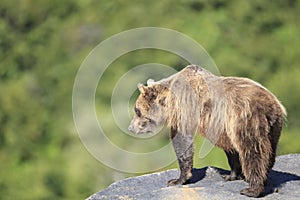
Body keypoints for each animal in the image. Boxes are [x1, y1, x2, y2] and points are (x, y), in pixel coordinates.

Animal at [127, 64, 286, 197]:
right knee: (270, 151)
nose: (131, 128)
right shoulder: (223, 128)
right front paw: (230, 175)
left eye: (137, 110)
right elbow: (231, 149)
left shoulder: (186, 109)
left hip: (247, 120)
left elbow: (182, 142)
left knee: (253, 151)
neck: (169, 102)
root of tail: (270, 105)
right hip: (274, 128)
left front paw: (177, 179)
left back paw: (251, 189)